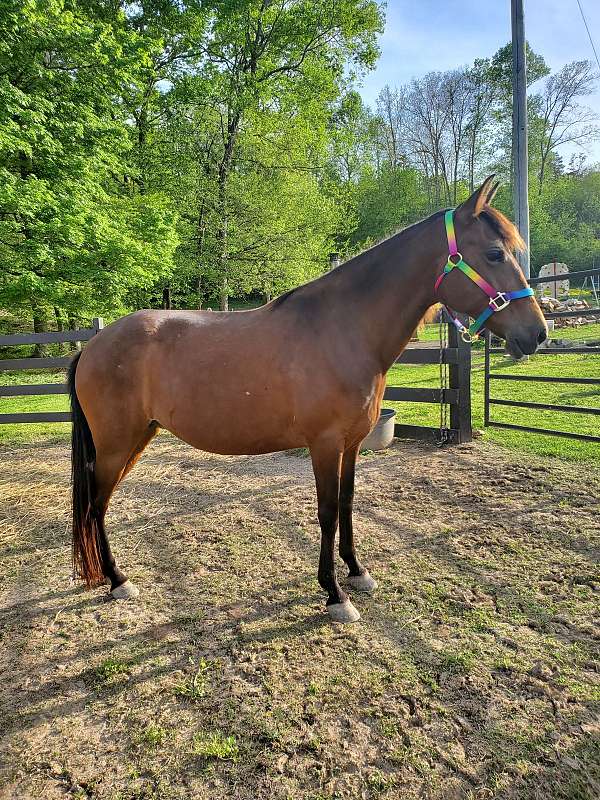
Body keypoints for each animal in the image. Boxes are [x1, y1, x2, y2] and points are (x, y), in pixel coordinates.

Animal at [68, 178, 548, 620]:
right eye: (494, 254)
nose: (537, 333)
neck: (343, 330)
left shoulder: (352, 444)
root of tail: (92, 346)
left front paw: (357, 572)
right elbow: (327, 512)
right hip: (117, 445)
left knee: (98, 503)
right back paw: (118, 580)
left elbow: (348, 503)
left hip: (138, 438)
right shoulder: (324, 444)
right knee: (96, 503)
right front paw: (335, 595)